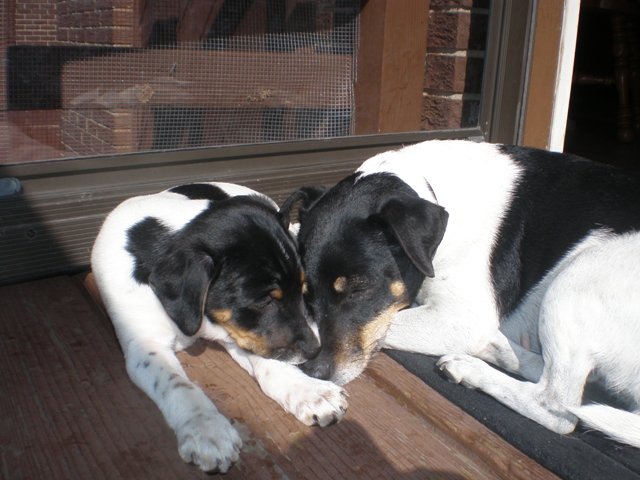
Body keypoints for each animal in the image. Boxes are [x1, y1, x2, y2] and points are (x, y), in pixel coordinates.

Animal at [91, 182, 344, 474]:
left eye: (302, 288)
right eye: (265, 300)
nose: (315, 350)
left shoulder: (241, 333)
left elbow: (272, 365)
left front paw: (310, 391)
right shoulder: (145, 346)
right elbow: (177, 384)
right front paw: (205, 429)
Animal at [282, 141, 640, 448]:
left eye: (359, 287)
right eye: (306, 291)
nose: (314, 372)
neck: (433, 192)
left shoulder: (458, 317)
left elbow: (388, 329)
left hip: (578, 277)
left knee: (557, 406)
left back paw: (472, 368)